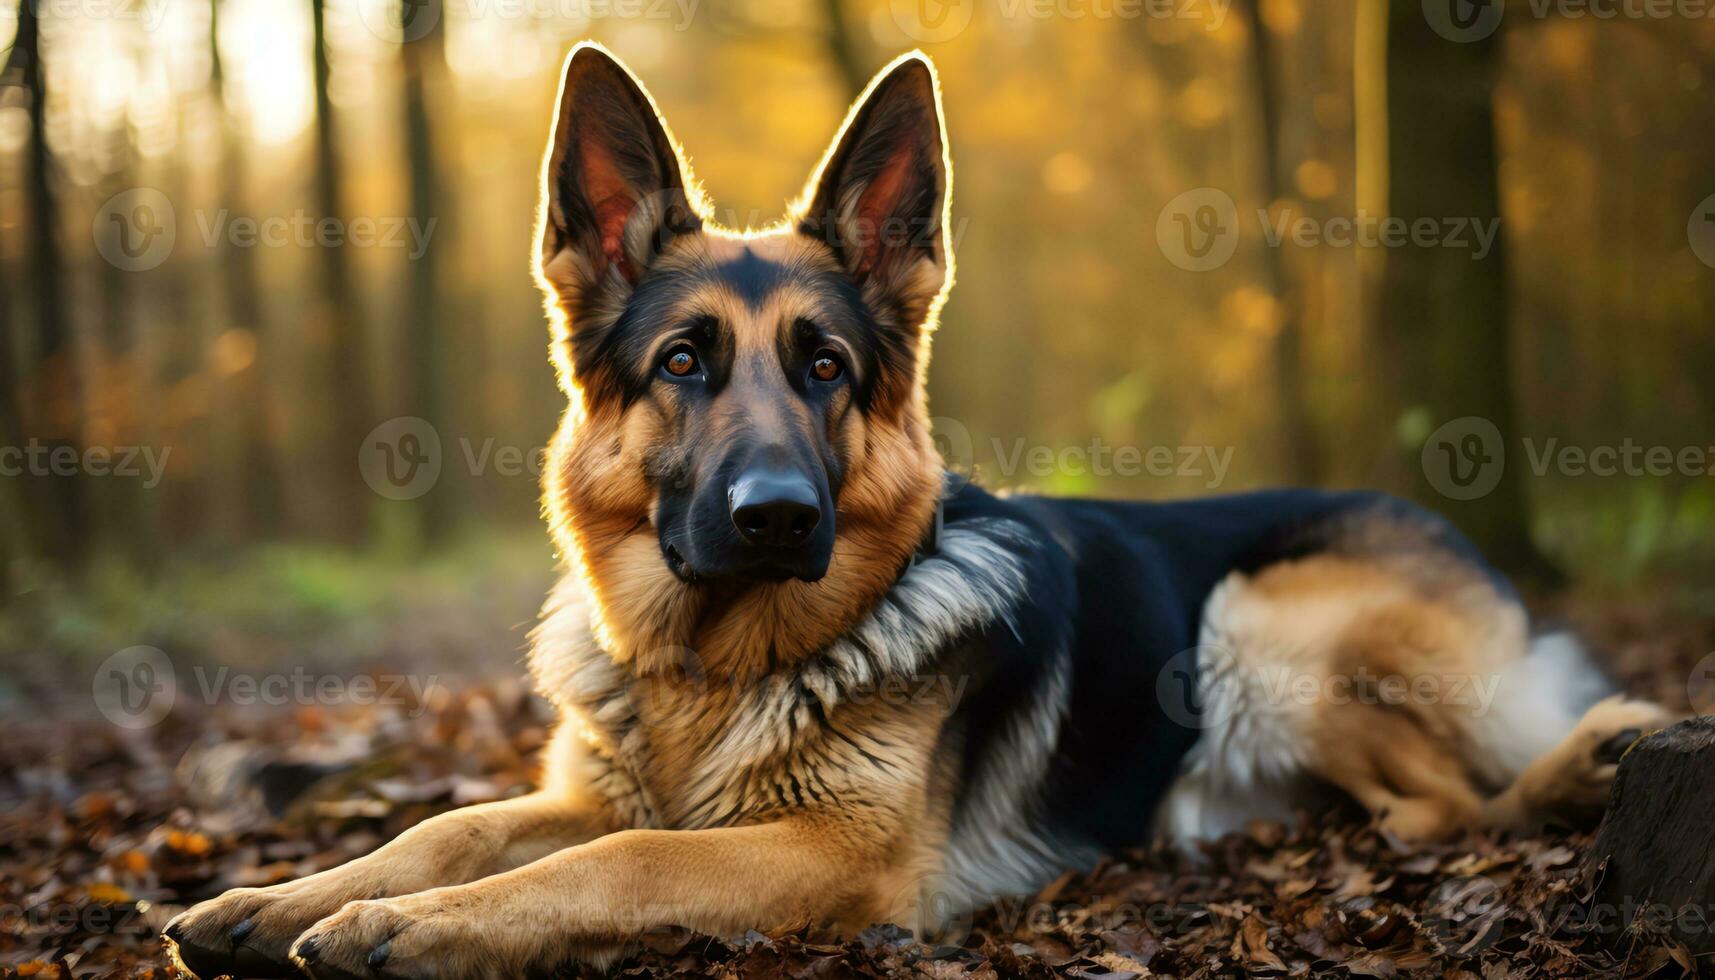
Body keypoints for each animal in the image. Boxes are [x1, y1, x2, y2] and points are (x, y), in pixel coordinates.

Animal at [170, 44, 1673, 974]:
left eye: (826, 368)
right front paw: (286, 896)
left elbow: (623, 859)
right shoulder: (582, 788)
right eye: (682, 363)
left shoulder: (833, 856)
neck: (708, 672)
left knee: (1460, 801)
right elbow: (452, 828)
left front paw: (412, 928)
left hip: (1263, 623)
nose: (777, 516)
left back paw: (1546, 772)